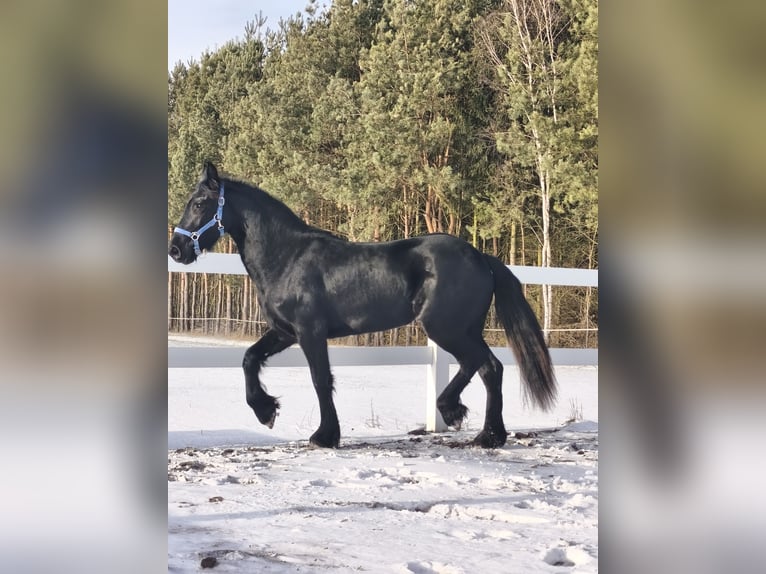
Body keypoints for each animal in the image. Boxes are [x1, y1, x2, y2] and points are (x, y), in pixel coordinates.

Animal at [169, 162, 557, 448]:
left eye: (200, 203)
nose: (176, 249)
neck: (288, 257)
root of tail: (480, 256)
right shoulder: (284, 332)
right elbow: (249, 359)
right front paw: (266, 412)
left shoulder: (309, 332)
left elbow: (320, 379)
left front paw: (324, 436)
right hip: (464, 329)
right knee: (490, 368)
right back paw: (486, 432)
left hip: (445, 328)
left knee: (480, 364)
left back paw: (462, 418)